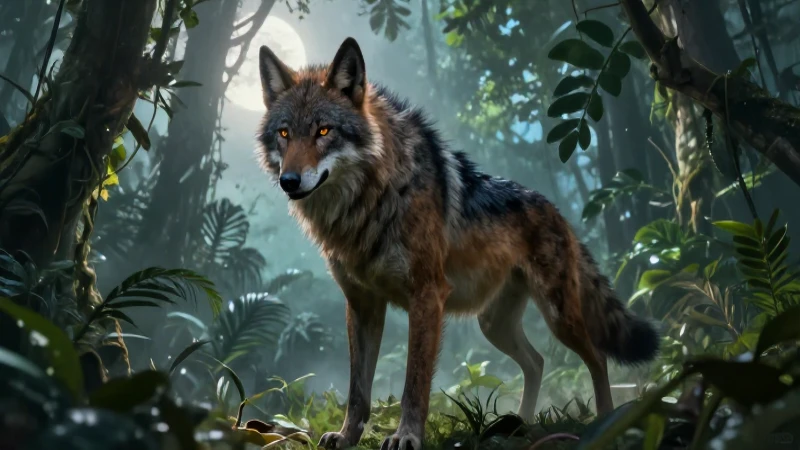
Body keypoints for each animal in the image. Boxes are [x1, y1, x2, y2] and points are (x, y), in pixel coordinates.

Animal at [255, 37, 659, 450]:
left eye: (324, 131)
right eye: (284, 134)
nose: (289, 180)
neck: (368, 203)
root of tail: (557, 212)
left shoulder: (427, 296)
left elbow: (414, 383)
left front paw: (406, 436)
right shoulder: (362, 305)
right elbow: (357, 390)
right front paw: (347, 436)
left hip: (558, 316)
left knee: (596, 357)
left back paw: (605, 419)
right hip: (493, 325)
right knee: (537, 362)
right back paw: (523, 424)